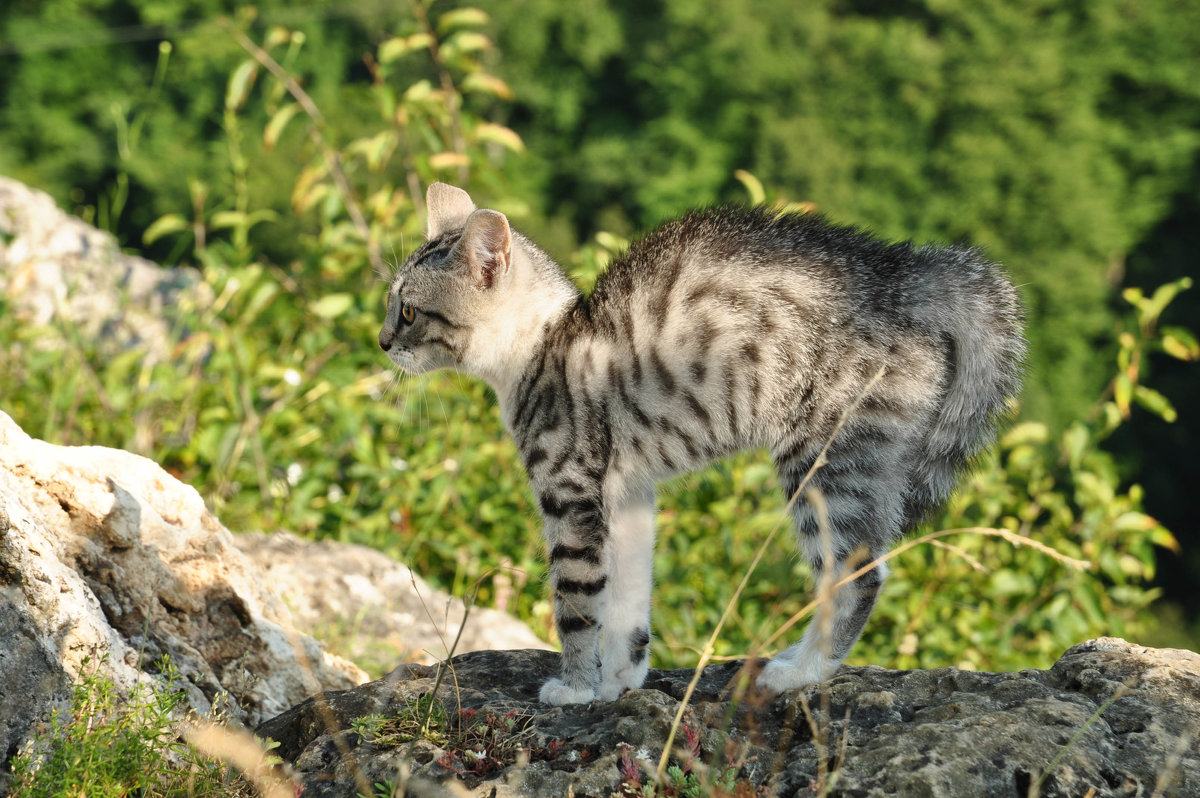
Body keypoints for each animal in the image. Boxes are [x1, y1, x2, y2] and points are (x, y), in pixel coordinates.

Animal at [379, 182, 1027, 705]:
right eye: (391, 306)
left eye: (408, 311)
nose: (382, 342)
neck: (542, 343)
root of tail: (905, 277)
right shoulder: (627, 494)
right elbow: (628, 601)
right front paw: (619, 680)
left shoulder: (570, 493)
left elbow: (578, 604)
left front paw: (575, 686)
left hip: (824, 461)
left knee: (858, 574)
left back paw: (800, 672)